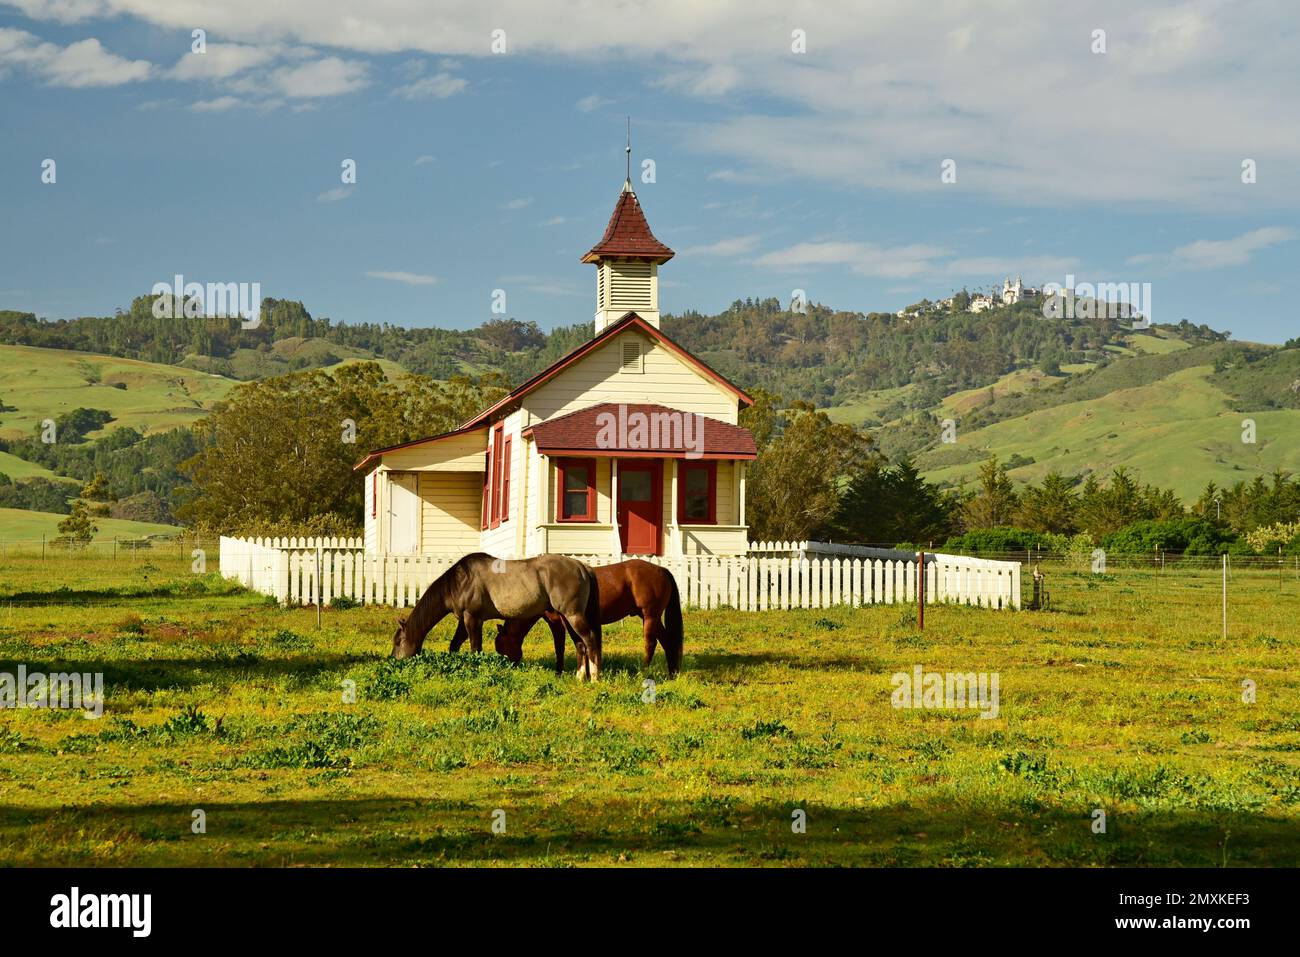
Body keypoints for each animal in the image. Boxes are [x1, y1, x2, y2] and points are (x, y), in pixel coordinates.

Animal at [491, 556, 686, 676]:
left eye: (501, 646)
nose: (511, 667)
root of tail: (661, 569)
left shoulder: (557, 623)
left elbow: (561, 647)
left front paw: (559, 672)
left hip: (650, 616)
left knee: (650, 644)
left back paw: (643, 671)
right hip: (652, 617)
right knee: (668, 642)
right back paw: (672, 673)